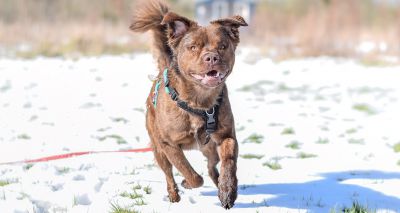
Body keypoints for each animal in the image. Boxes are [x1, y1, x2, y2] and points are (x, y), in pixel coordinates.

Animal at [130, 0, 247, 209]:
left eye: (223, 46)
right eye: (193, 47)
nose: (211, 57)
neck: (199, 101)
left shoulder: (226, 136)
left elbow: (229, 161)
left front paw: (227, 190)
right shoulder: (168, 144)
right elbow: (190, 173)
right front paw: (186, 182)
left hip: (209, 148)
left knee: (212, 166)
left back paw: (218, 184)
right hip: (158, 149)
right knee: (168, 172)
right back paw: (174, 194)